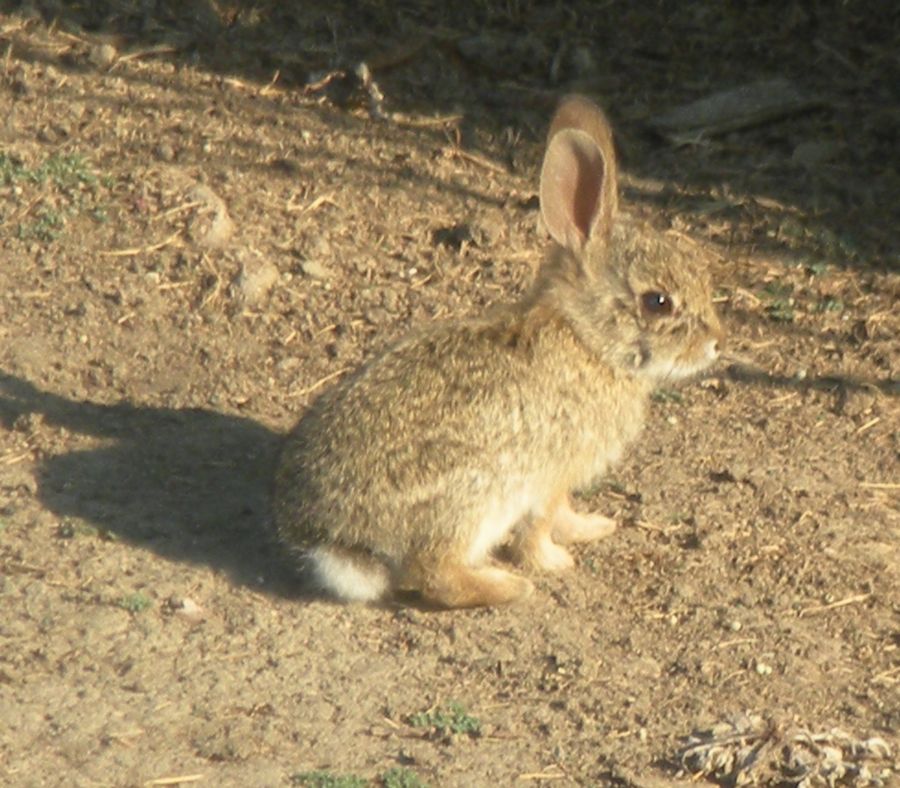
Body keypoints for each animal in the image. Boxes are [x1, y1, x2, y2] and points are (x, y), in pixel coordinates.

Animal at [274, 94, 724, 608]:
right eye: (658, 302)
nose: (716, 343)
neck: (587, 340)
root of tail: (334, 542)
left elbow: (565, 514)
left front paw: (592, 527)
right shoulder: (548, 474)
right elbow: (541, 526)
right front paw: (554, 561)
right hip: (470, 495)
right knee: (435, 573)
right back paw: (508, 586)